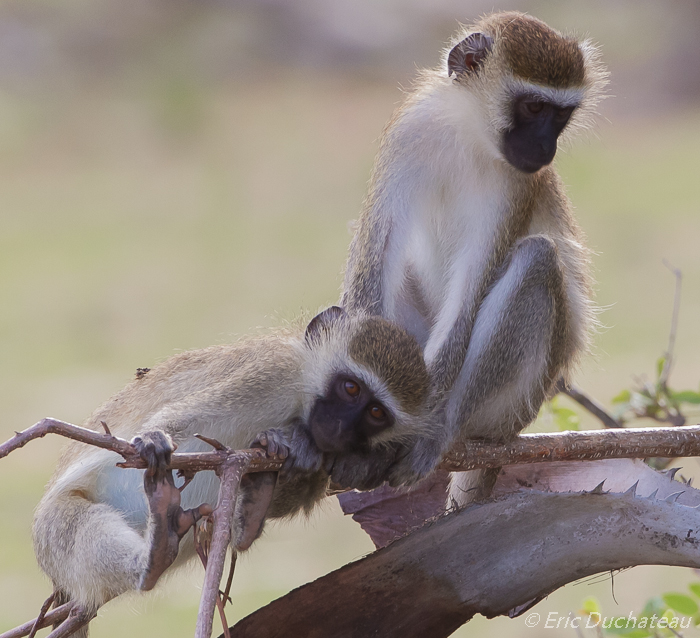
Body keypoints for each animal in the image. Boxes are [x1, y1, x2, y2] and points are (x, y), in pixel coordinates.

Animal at [32, 308, 432, 632]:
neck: (301, 396)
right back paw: (148, 559)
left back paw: (247, 508)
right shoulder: (271, 374)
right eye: (350, 388)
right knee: (77, 527)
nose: (339, 428)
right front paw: (151, 440)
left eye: (376, 413)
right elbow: (180, 419)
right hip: (49, 536)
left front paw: (295, 449)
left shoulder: (343, 456)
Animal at [336, 12, 604, 498]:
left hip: (513, 408)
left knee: (536, 260)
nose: (545, 148)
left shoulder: (516, 186)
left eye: (561, 115)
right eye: (533, 108)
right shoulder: (410, 129)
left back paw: (441, 430)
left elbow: (471, 291)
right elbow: (378, 250)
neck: (469, 133)